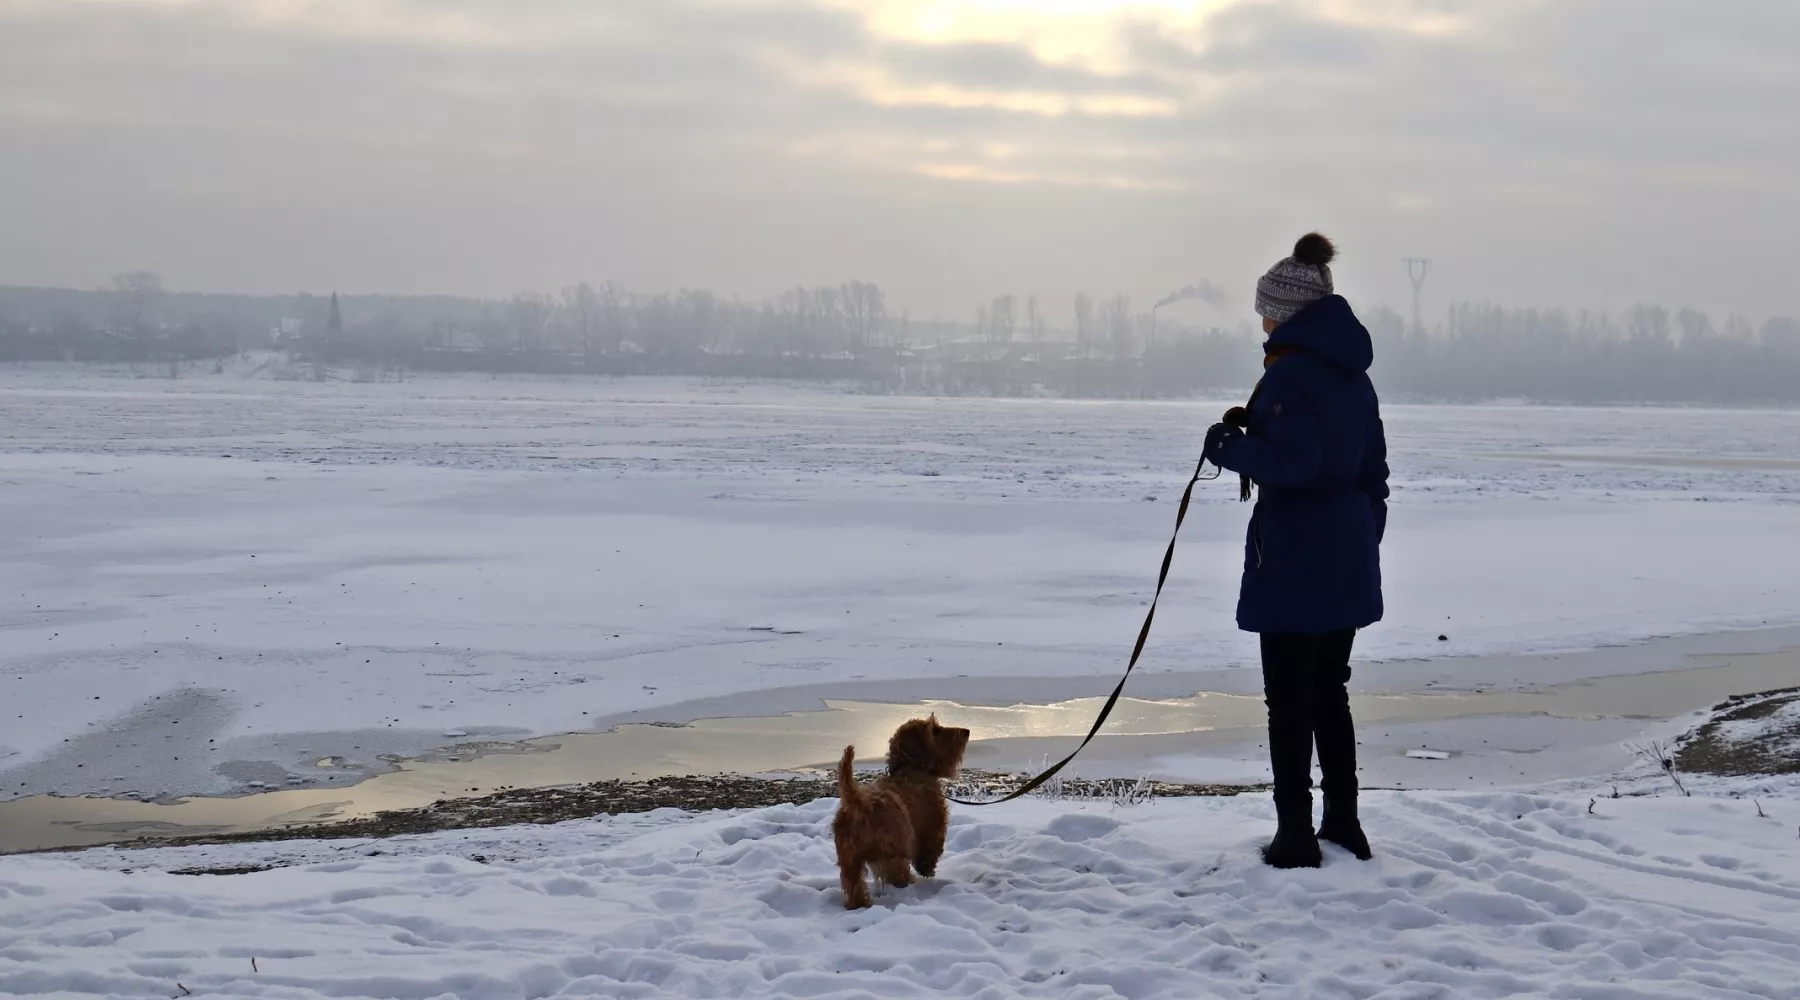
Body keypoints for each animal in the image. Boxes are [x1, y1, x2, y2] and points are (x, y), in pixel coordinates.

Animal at [831, 715, 972, 910]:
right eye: (934, 730)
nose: (966, 731)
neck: (910, 769)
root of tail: (858, 800)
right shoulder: (933, 823)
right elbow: (931, 848)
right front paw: (927, 869)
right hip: (895, 851)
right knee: (897, 874)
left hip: (849, 860)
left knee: (854, 885)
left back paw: (859, 904)